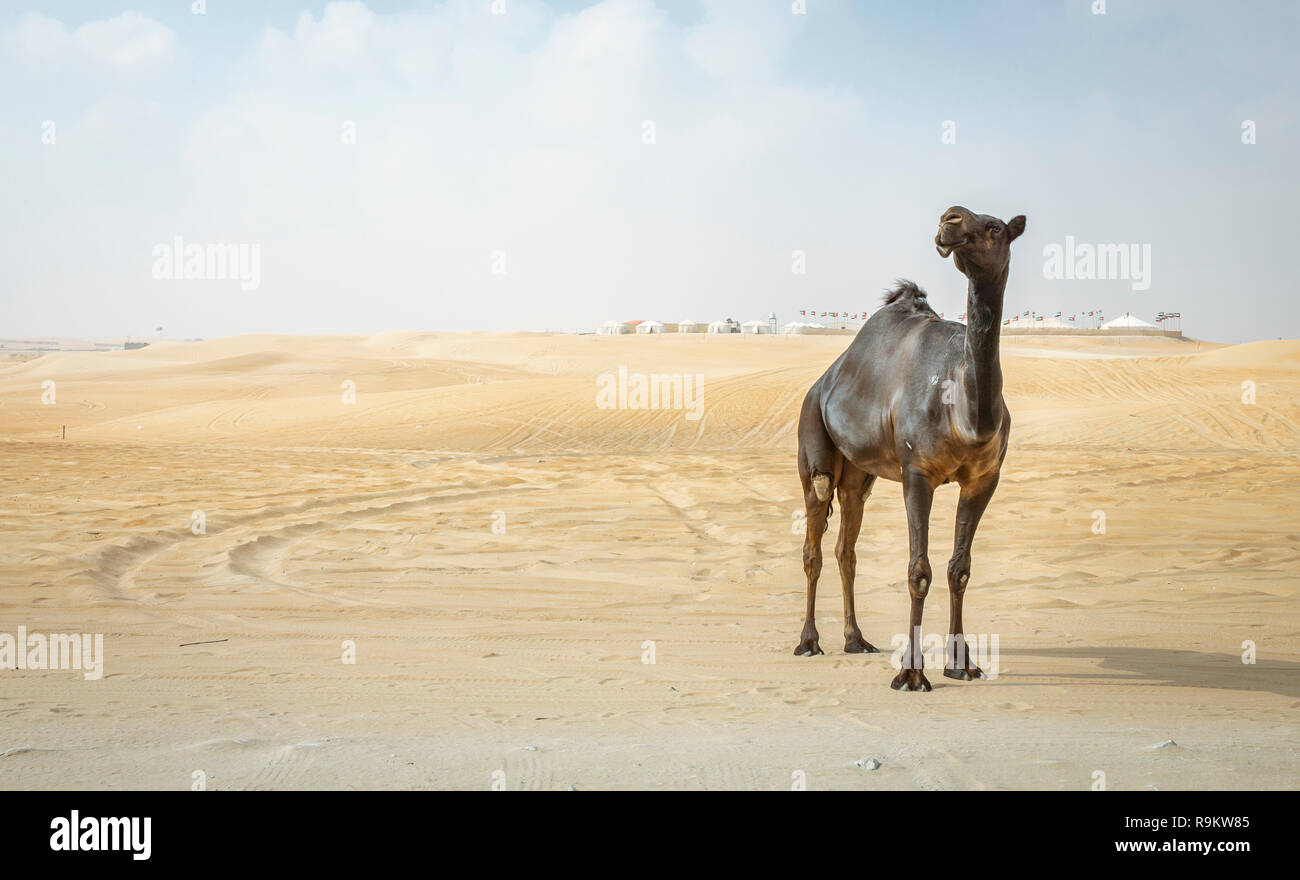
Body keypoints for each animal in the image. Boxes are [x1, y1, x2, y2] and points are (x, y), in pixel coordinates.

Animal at [793, 205, 1025, 691]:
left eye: (996, 227)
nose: (950, 220)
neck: (967, 413)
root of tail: (823, 381)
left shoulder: (983, 480)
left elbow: (960, 569)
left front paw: (962, 664)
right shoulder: (917, 473)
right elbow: (919, 570)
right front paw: (911, 674)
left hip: (859, 474)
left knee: (846, 545)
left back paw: (856, 639)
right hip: (812, 441)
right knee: (813, 542)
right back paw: (808, 641)